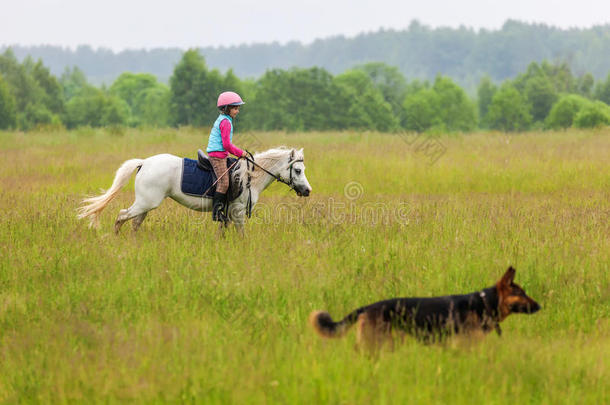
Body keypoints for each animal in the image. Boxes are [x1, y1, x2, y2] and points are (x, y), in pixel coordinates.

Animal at [78, 147, 312, 232]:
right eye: (298, 170)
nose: (308, 191)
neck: (249, 177)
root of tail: (144, 163)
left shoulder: (228, 212)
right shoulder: (237, 211)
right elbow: (241, 233)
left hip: (145, 204)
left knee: (134, 222)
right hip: (146, 202)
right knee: (121, 216)